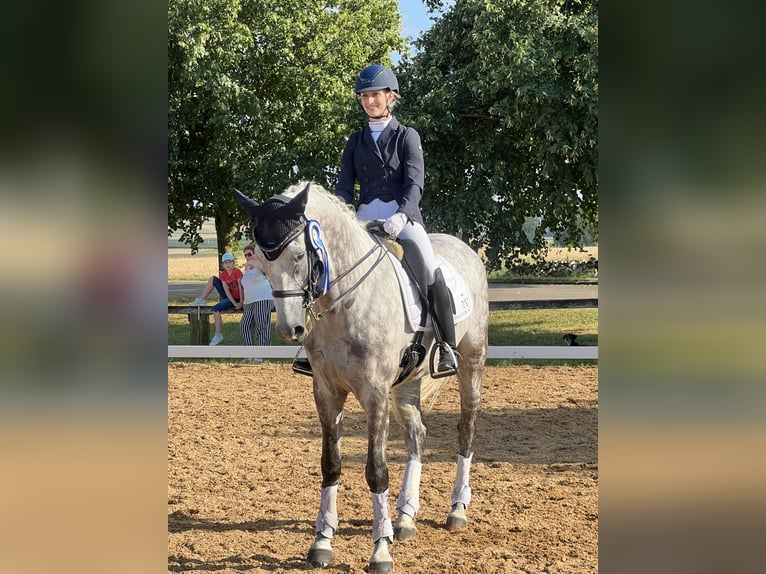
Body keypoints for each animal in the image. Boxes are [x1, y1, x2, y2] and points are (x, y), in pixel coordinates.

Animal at [234, 183, 488, 574]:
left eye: (298, 255)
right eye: (262, 260)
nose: (291, 330)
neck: (346, 299)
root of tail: (464, 249)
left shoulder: (374, 393)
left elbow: (376, 470)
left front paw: (380, 551)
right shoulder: (326, 390)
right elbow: (331, 464)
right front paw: (322, 542)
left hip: (471, 361)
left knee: (466, 429)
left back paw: (457, 509)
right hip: (406, 382)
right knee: (417, 434)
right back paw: (405, 517)